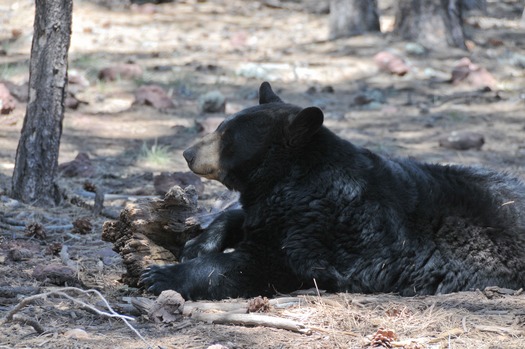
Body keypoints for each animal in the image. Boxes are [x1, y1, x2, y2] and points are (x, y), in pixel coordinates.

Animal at [139, 81, 524, 300]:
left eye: (227, 137)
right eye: (221, 126)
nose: (188, 153)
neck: (294, 181)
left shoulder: (317, 230)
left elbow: (258, 264)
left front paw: (160, 275)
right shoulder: (273, 207)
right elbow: (244, 216)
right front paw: (199, 243)